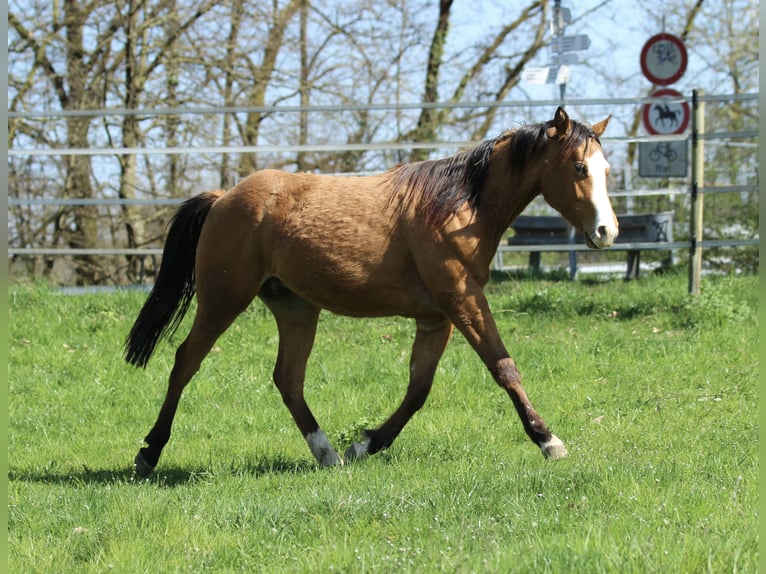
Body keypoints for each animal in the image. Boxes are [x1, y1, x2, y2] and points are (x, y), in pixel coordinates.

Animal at [125, 107, 618, 477]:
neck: (458, 205)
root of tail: (223, 198)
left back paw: (327, 453)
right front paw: (548, 440)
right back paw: (149, 453)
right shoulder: (464, 301)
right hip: (224, 299)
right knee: (185, 362)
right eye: (578, 167)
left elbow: (418, 390)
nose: (606, 231)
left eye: (607, 170)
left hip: (295, 308)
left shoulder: (436, 318)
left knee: (288, 379)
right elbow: (504, 368)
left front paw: (367, 444)